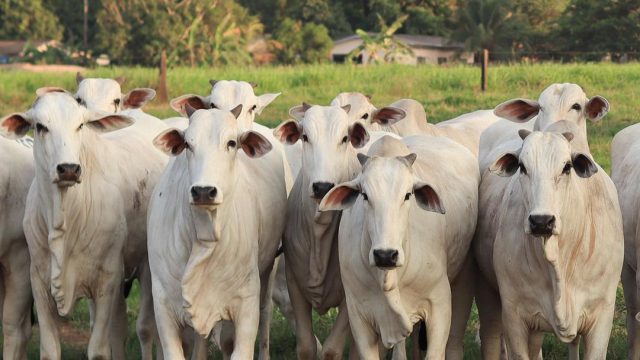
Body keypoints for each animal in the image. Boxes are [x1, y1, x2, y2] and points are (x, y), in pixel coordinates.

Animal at [0, 91, 169, 358]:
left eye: (80, 125)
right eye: (40, 127)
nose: (68, 169)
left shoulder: (108, 280)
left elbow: (99, 349)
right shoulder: (38, 281)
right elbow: (50, 349)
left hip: (147, 270)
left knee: (146, 328)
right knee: (120, 327)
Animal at [148, 105, 288, 358]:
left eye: (231, 143)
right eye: (188, 144)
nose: (203, 191)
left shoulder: (246, 304)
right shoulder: (163, 305)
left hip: (269, 271)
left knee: (265, 316)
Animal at [320, 134, 480, 358]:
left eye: (407, 195)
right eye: (364, 195)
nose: (385, 255)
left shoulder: (439, 305)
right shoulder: (358, 315)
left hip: (464, 274)